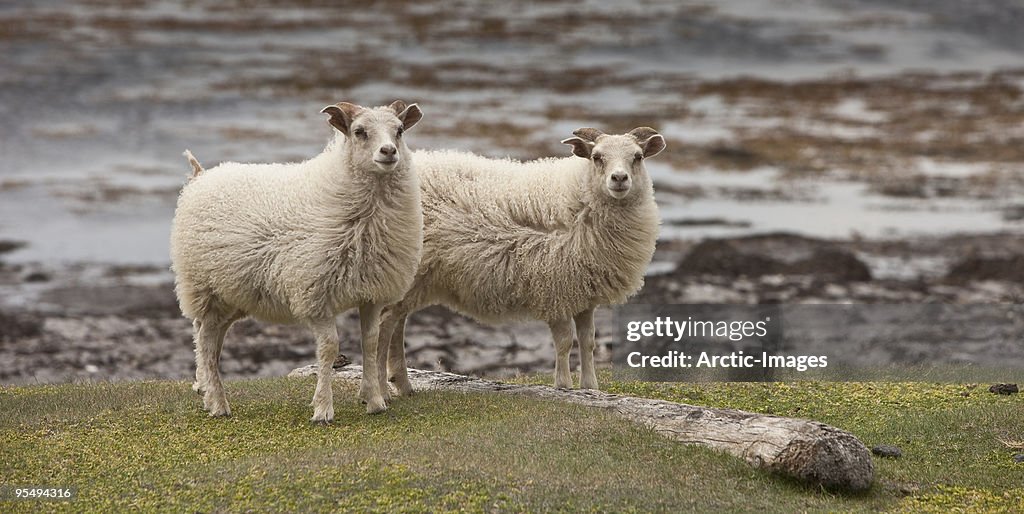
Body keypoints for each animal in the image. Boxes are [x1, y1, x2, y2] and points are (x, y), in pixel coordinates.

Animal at [170, 100, 424, 422]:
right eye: (359, 132)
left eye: (400, 130)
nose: (389, 152)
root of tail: (201, 175)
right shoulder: (315, 293)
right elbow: (329, 348)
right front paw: (323, 409)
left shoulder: (371, 292)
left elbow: (369, 342)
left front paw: (375, 401)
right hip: (204, 287)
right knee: (204, 340)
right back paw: (218, 403)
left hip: (232, 295)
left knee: (211, 338)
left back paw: (206, 391)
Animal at [376, 127, 664, 395]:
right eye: (597, 157)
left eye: (638, 157)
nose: (619, 178)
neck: (580, 200)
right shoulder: (555, 289)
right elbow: (564, 342)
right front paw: (563, 385)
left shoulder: (583, 293)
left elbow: (588, 341)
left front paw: (590, 387)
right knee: (385, 323)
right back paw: (384, 388)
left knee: (396, 325)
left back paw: (402, 384)